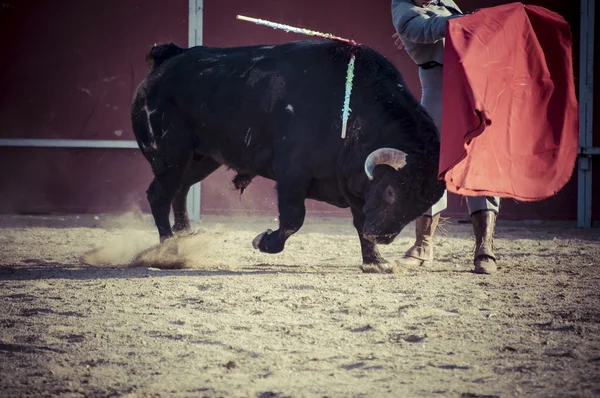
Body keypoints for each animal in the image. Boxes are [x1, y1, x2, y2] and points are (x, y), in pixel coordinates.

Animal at [131, 38, 446, 272]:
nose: (382, 237)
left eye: (420, 206)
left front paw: (375, 262)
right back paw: (170, 250)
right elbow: (294, 219)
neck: (352, 111)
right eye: (392, 192)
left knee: (180, 191)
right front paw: (263, 242)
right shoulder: (292, 175)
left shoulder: (355, 188)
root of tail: (168, 59)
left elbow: (358, 220)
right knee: (159, 195)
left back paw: (185, 237)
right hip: (171, 156)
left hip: (201, 159)